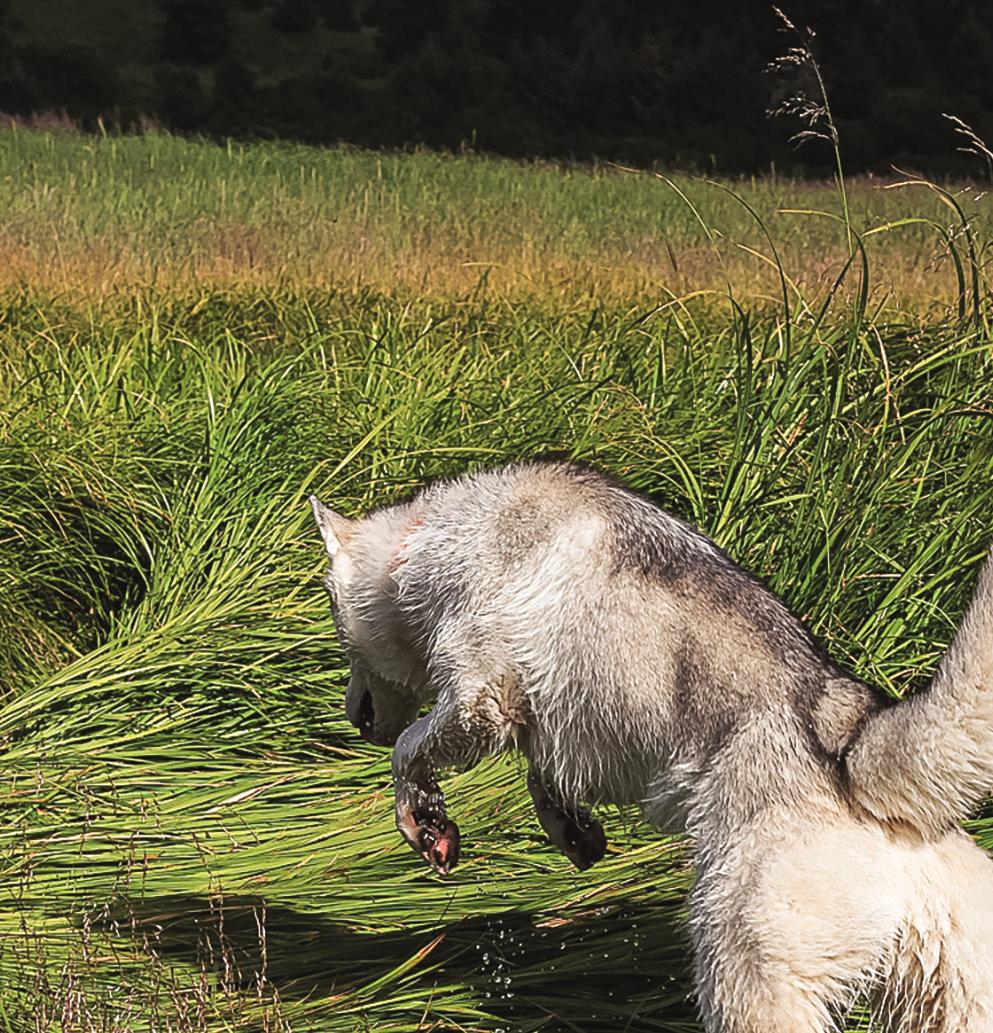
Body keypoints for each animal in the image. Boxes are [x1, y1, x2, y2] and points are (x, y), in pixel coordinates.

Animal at [309, 462, 991, 1033]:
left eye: (333, 616)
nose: (354, 720)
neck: (419, 541)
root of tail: (855, 744)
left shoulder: (484, 695)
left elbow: (409, 752)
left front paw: (425, 821)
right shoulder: (552, 722)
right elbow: (542, 776)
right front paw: (572, 830)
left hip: (741, 966)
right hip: (953, 989)